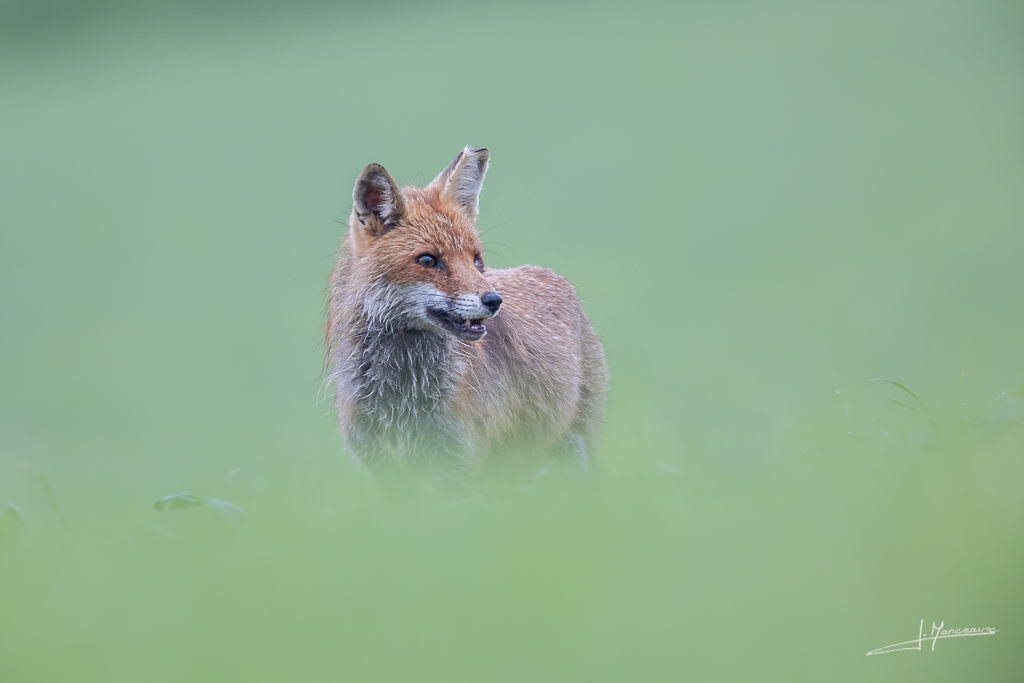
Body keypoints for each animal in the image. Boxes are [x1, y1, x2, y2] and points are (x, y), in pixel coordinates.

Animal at [326, 147, 608, 479]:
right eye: (428, 260)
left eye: (476, 260)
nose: (494, 301)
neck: (403, 392)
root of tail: (549, 273)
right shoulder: (383, 464)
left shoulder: (461, 460)